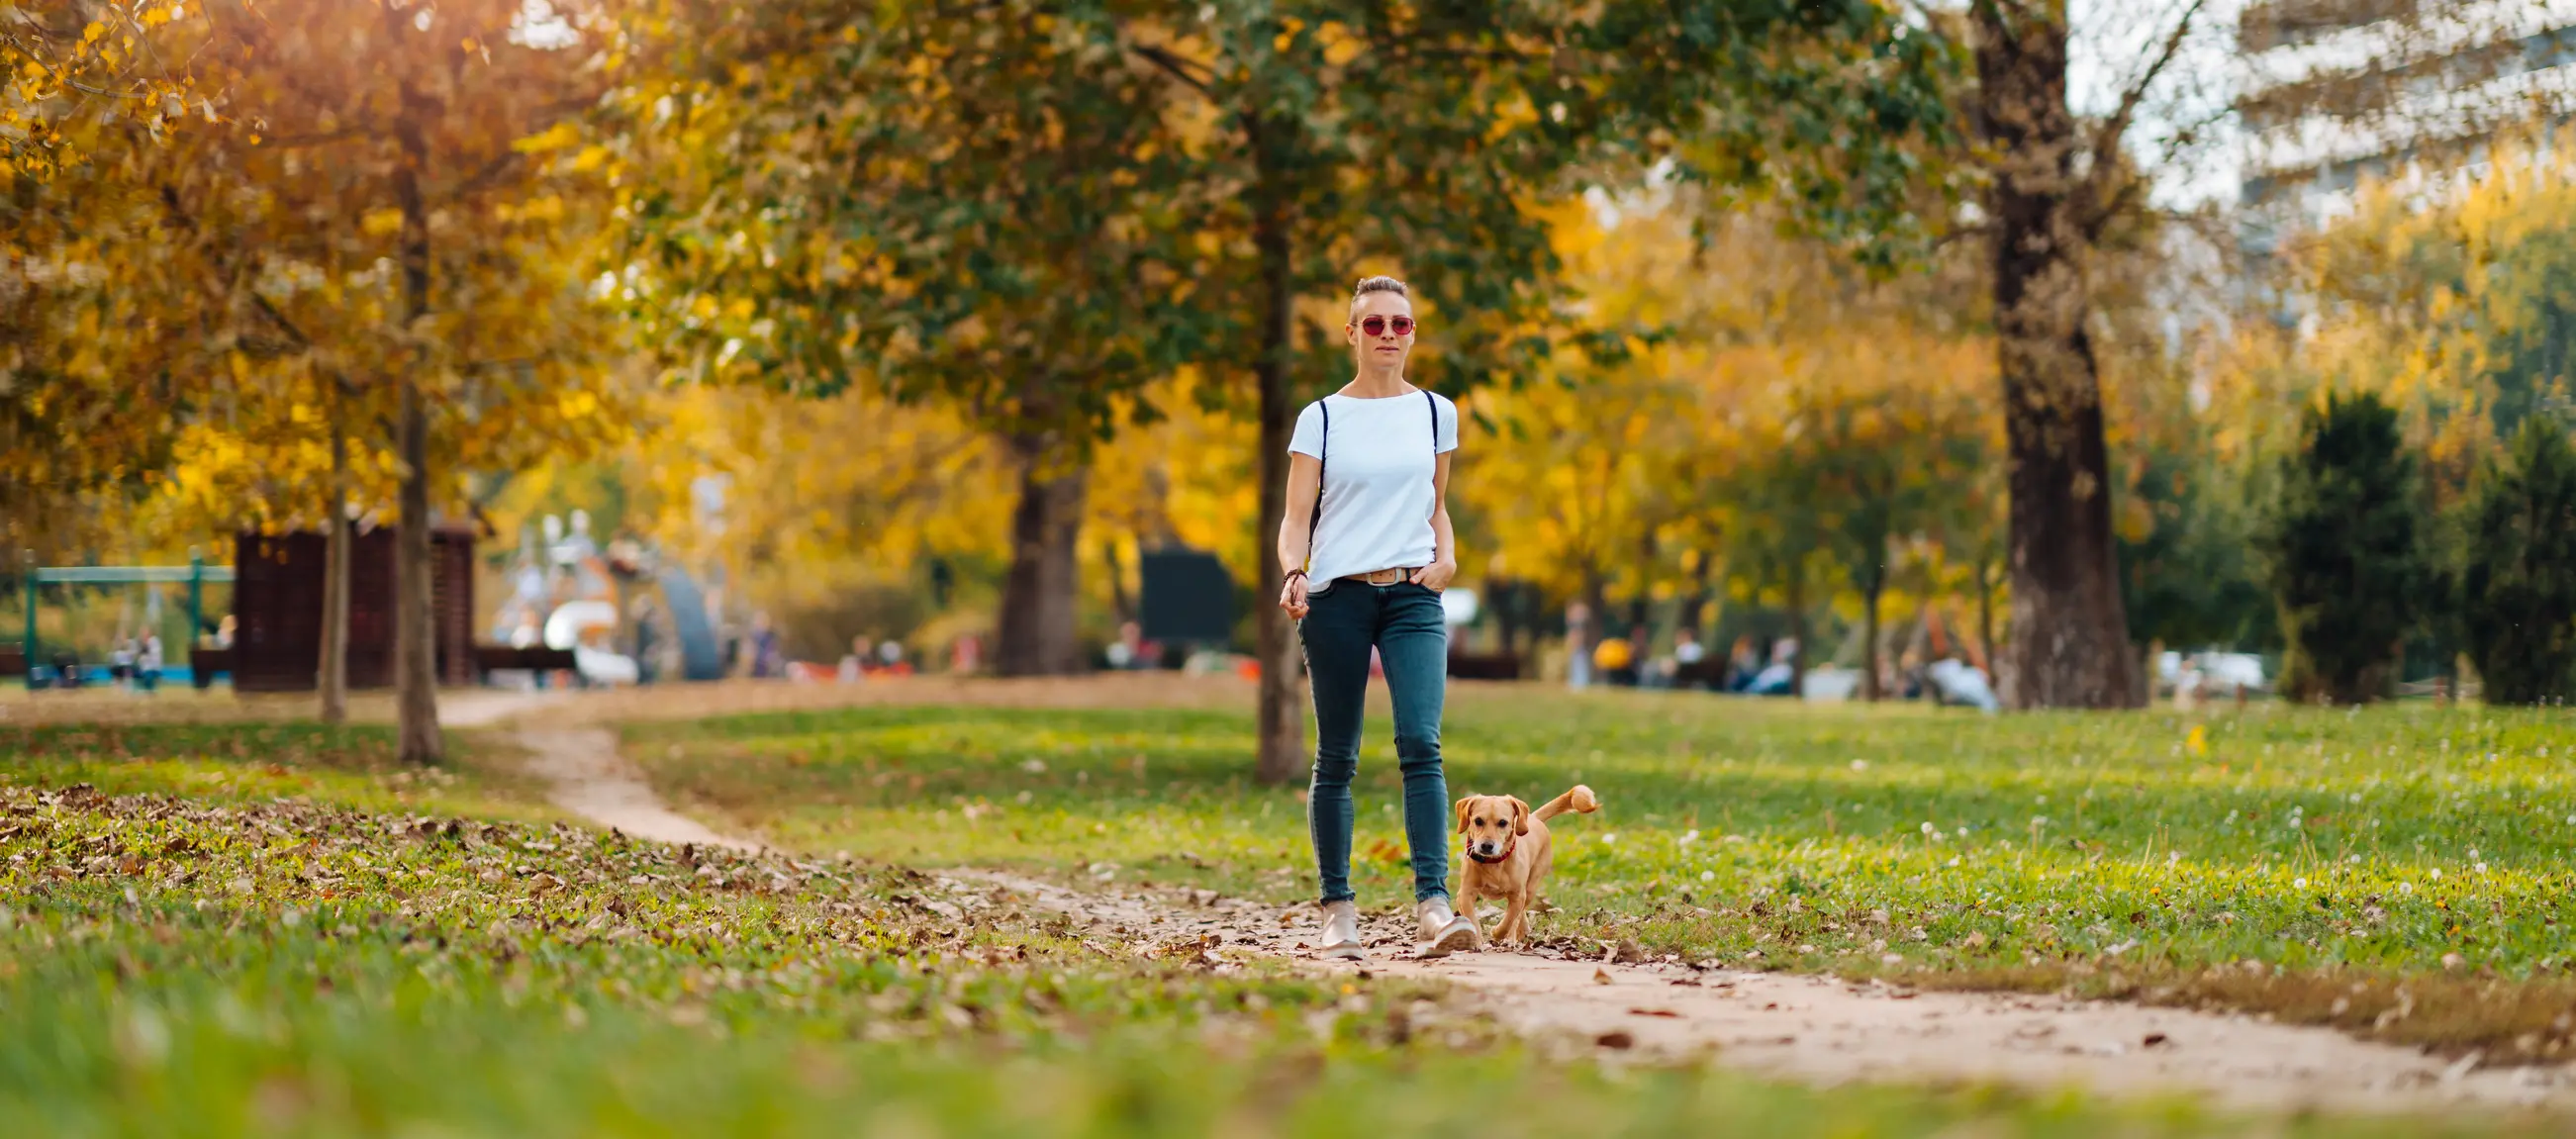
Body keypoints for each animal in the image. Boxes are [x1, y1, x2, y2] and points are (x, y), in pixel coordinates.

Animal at [1463, 783, 1596, 943]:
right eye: (1478, 821)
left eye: (1503, 823)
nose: (1487, 846)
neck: (1493, 863)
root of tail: (1534, 817)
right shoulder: (1465, 894)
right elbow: (1472, 920)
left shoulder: (1518, 896)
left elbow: (1509, 921)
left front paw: (1497, 933)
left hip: (1531, 886)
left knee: (1519, 914)